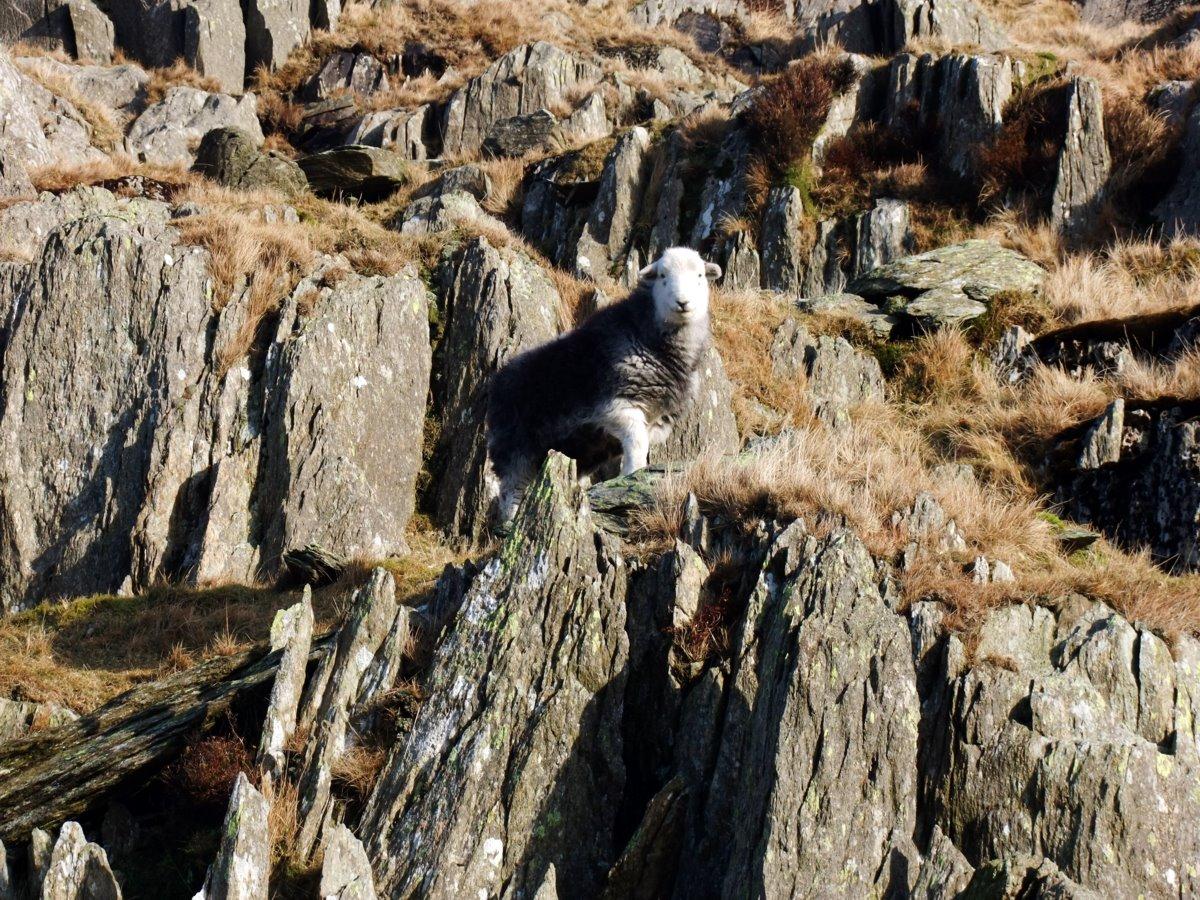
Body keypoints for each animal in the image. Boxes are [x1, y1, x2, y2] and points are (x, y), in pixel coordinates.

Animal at [486, 246, 722, 522]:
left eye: (699, 275)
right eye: (663, 276)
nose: (683, 302)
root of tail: (497, 382)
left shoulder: (654, 421)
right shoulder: (616, 407)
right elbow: (636, 446)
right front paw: (631, 476)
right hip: (516, 449)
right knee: (511, 492)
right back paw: (510, 524)